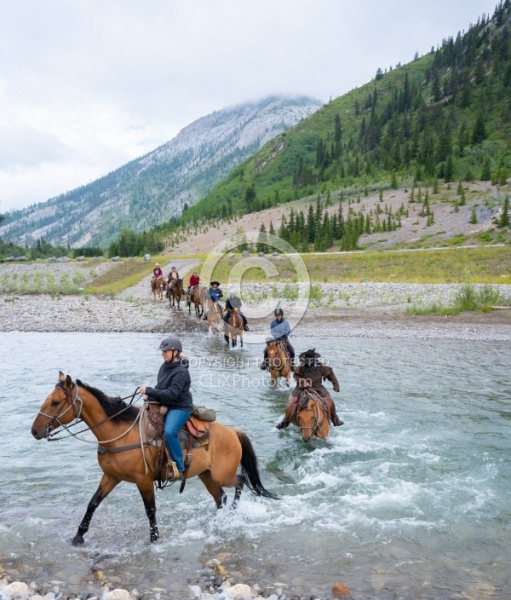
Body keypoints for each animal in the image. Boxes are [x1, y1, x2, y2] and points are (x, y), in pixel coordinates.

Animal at [31, 372, 280, 548]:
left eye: (55, 402)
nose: (34, 431)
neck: (119, 434)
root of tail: (234, 432)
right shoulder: (110, 477)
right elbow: (93, 503)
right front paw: (78, 536)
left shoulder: (143, 480)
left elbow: (150, 510)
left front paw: (154, 540)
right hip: (206, 475)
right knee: (221, 497)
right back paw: (219, 521)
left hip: (222, 475)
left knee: (239, 482)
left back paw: (233, 515)